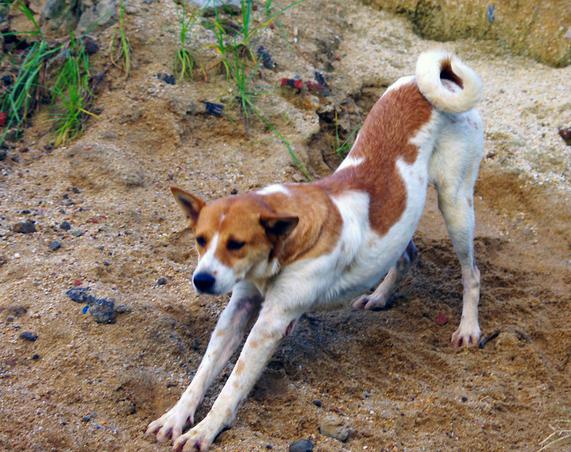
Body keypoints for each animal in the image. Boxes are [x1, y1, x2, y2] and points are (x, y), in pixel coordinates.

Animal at [146, 50, 482, 452]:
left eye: (236, 244)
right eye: (200, 239)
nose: (201, 280)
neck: (285, 246)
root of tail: (437, 79)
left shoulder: (272, 323)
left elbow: (233, 385)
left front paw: (204, 431)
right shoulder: (238, 308)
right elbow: (203, 371)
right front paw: (176, 417)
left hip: (456, 204)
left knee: (471, 273)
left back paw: (468, 328)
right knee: (405, 255)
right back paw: (379, 297)